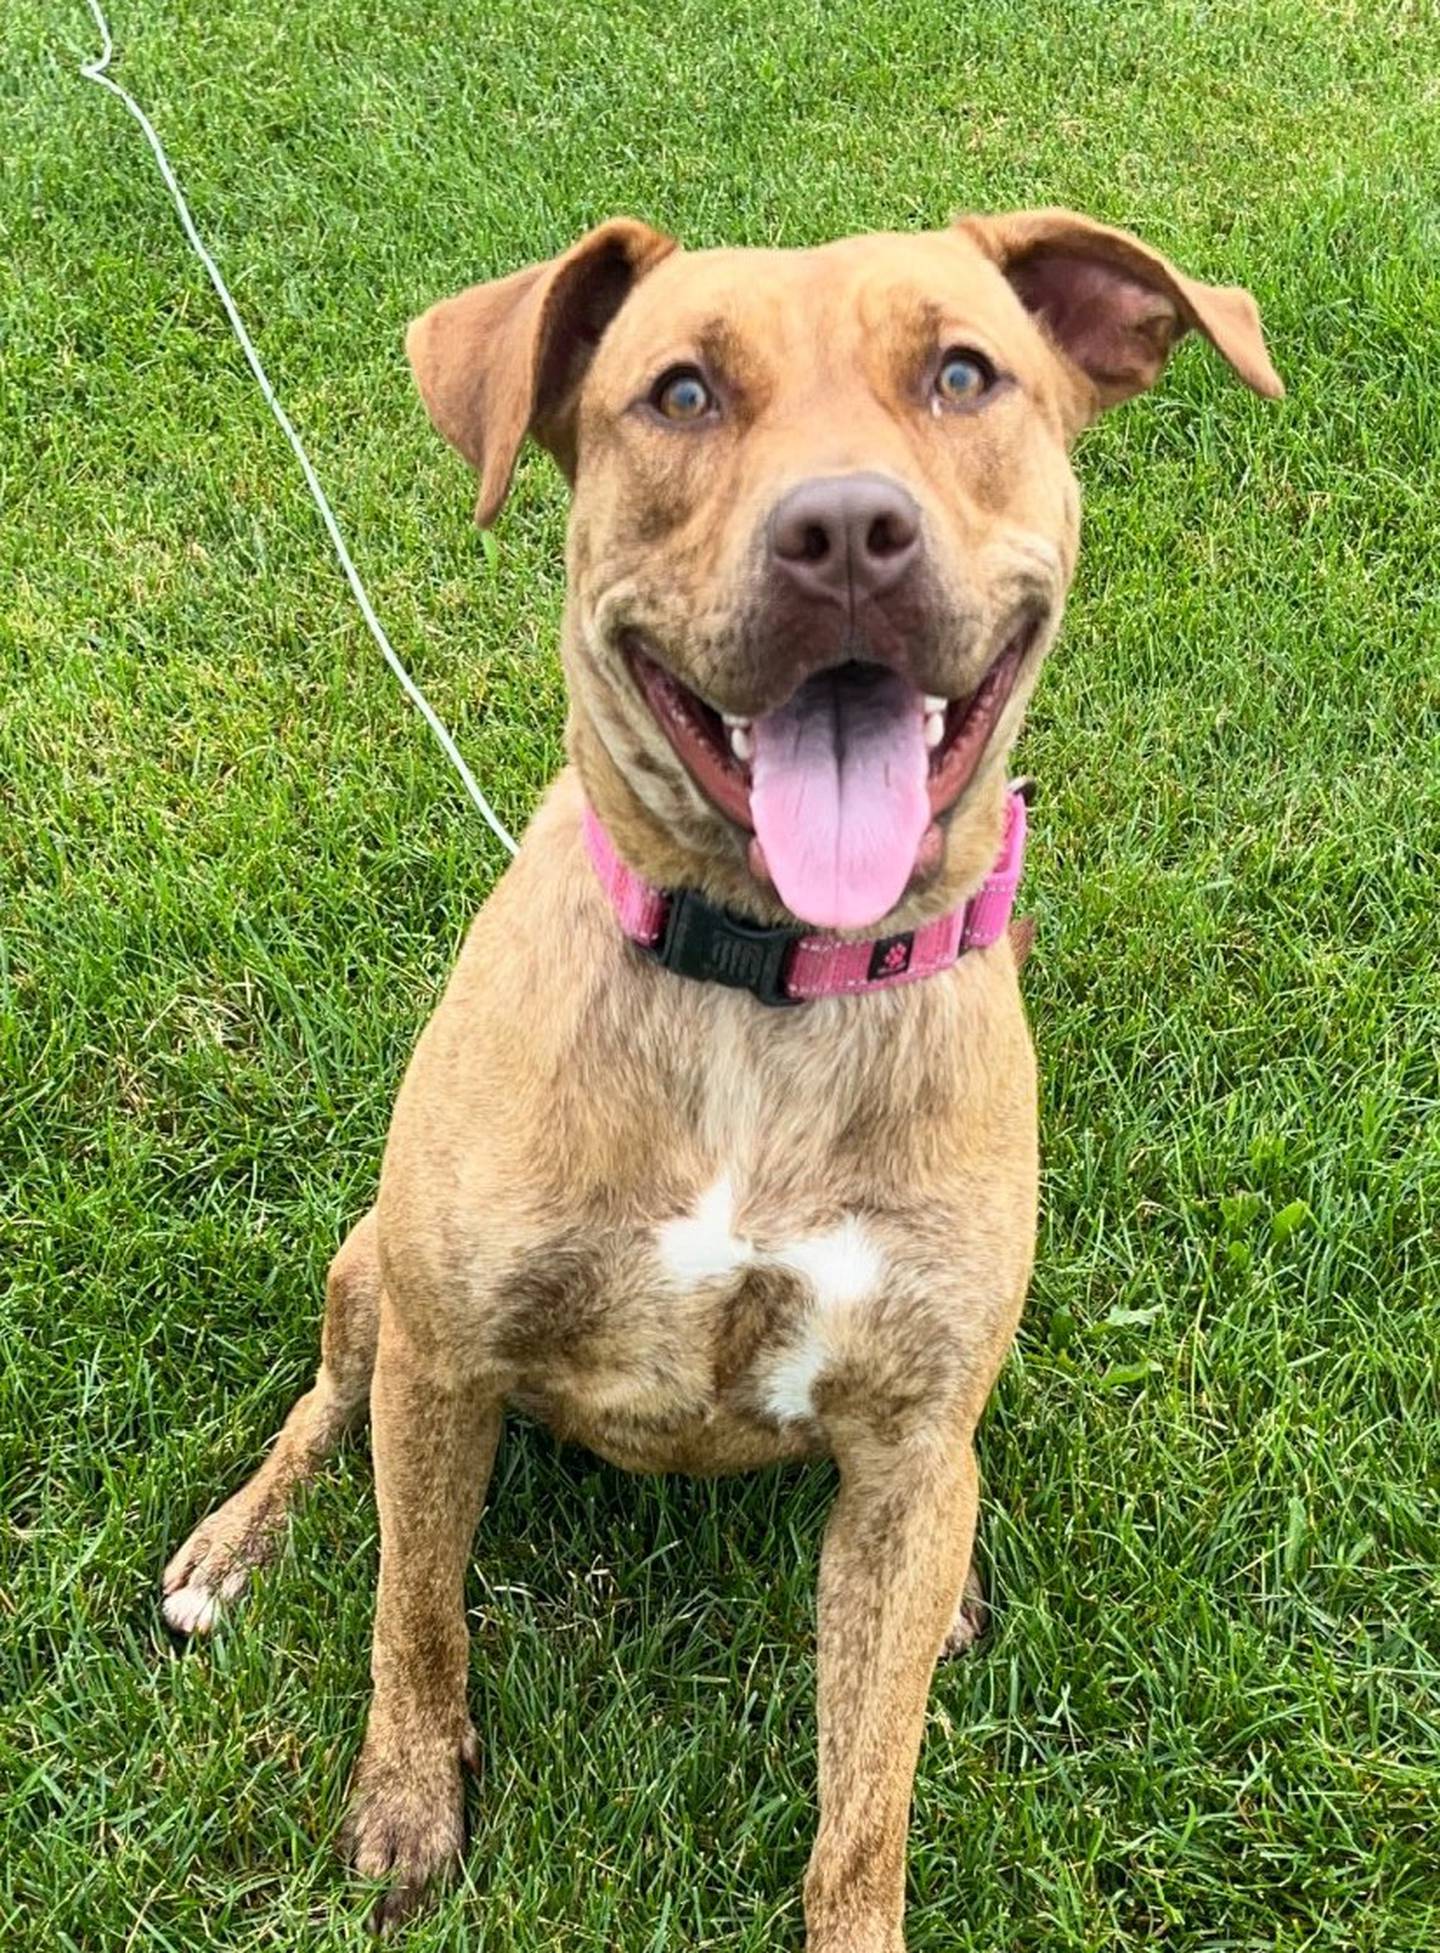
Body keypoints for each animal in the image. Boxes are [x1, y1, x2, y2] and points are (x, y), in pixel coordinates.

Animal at [160, 206, 1281, 1945]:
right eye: (680, 393)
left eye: (966, 373)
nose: (846, 533)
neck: (766, 985)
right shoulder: (445, 1357)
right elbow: (416, 1608)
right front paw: (407, 1801)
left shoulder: (907, 1438)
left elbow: (868, 1797)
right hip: (369, 1271)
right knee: (321, 1408)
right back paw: (233, 1543)